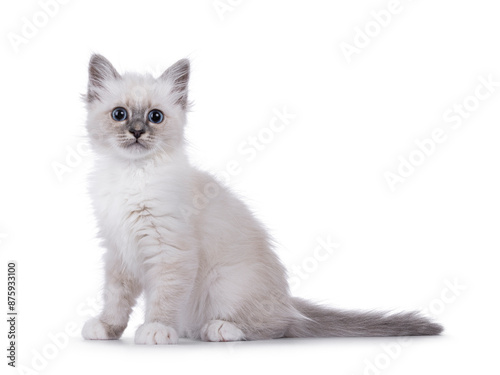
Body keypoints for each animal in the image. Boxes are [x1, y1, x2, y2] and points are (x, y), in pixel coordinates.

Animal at [81, 54, 442, 346]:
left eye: (155, 117)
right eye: (119, 114)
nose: (137, 132)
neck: (131, 175)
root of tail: (288, 301)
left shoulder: (170, 251)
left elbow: (163, 299)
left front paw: (156, 329)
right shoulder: (118, 251)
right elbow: (115, 300)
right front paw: (106, 328)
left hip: (224, 283)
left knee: (276, 327)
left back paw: (219, 330)